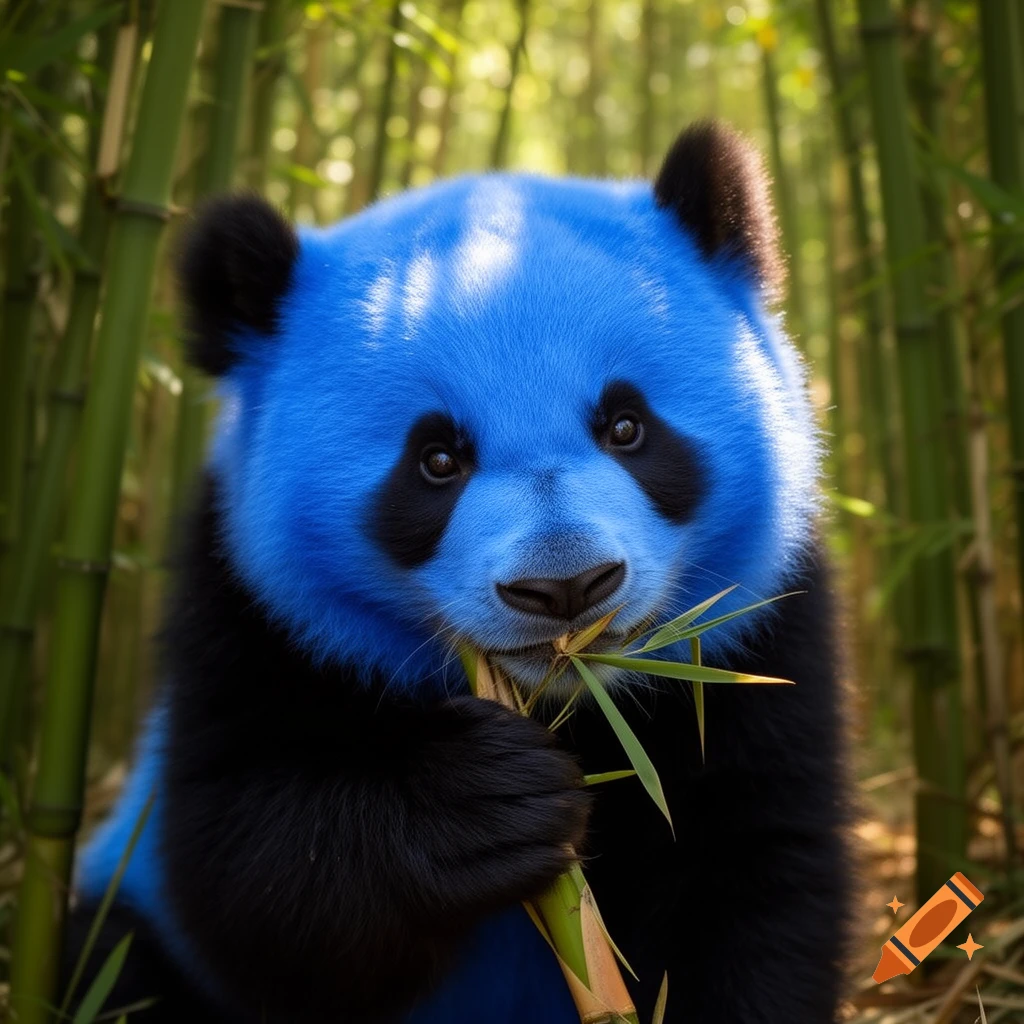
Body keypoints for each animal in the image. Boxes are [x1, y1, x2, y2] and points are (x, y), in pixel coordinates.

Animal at [69, 121, 850, 1024]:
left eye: (627, 425)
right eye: (436, 459)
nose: (565, 587)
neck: (568, 707)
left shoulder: (756, 633)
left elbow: (754, 867)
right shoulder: (247, 613)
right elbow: (243, 862)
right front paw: (488, 797)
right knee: (114, 966)